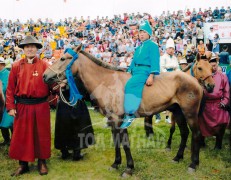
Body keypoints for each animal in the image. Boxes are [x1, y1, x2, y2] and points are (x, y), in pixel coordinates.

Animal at [42, 44, 215, 176]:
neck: (107, 82)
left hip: (190, 114)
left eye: (63, 58)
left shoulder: (119, 119)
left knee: (196, 134)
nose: (45, 76)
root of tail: (195, 82)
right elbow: (117, 142)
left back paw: (193, 164)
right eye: (200, 68)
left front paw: (129, 168)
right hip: (178, 112)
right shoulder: (112, 120)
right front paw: (116, 163)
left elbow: (124, 143)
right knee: (185, 133)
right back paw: (177, 157)